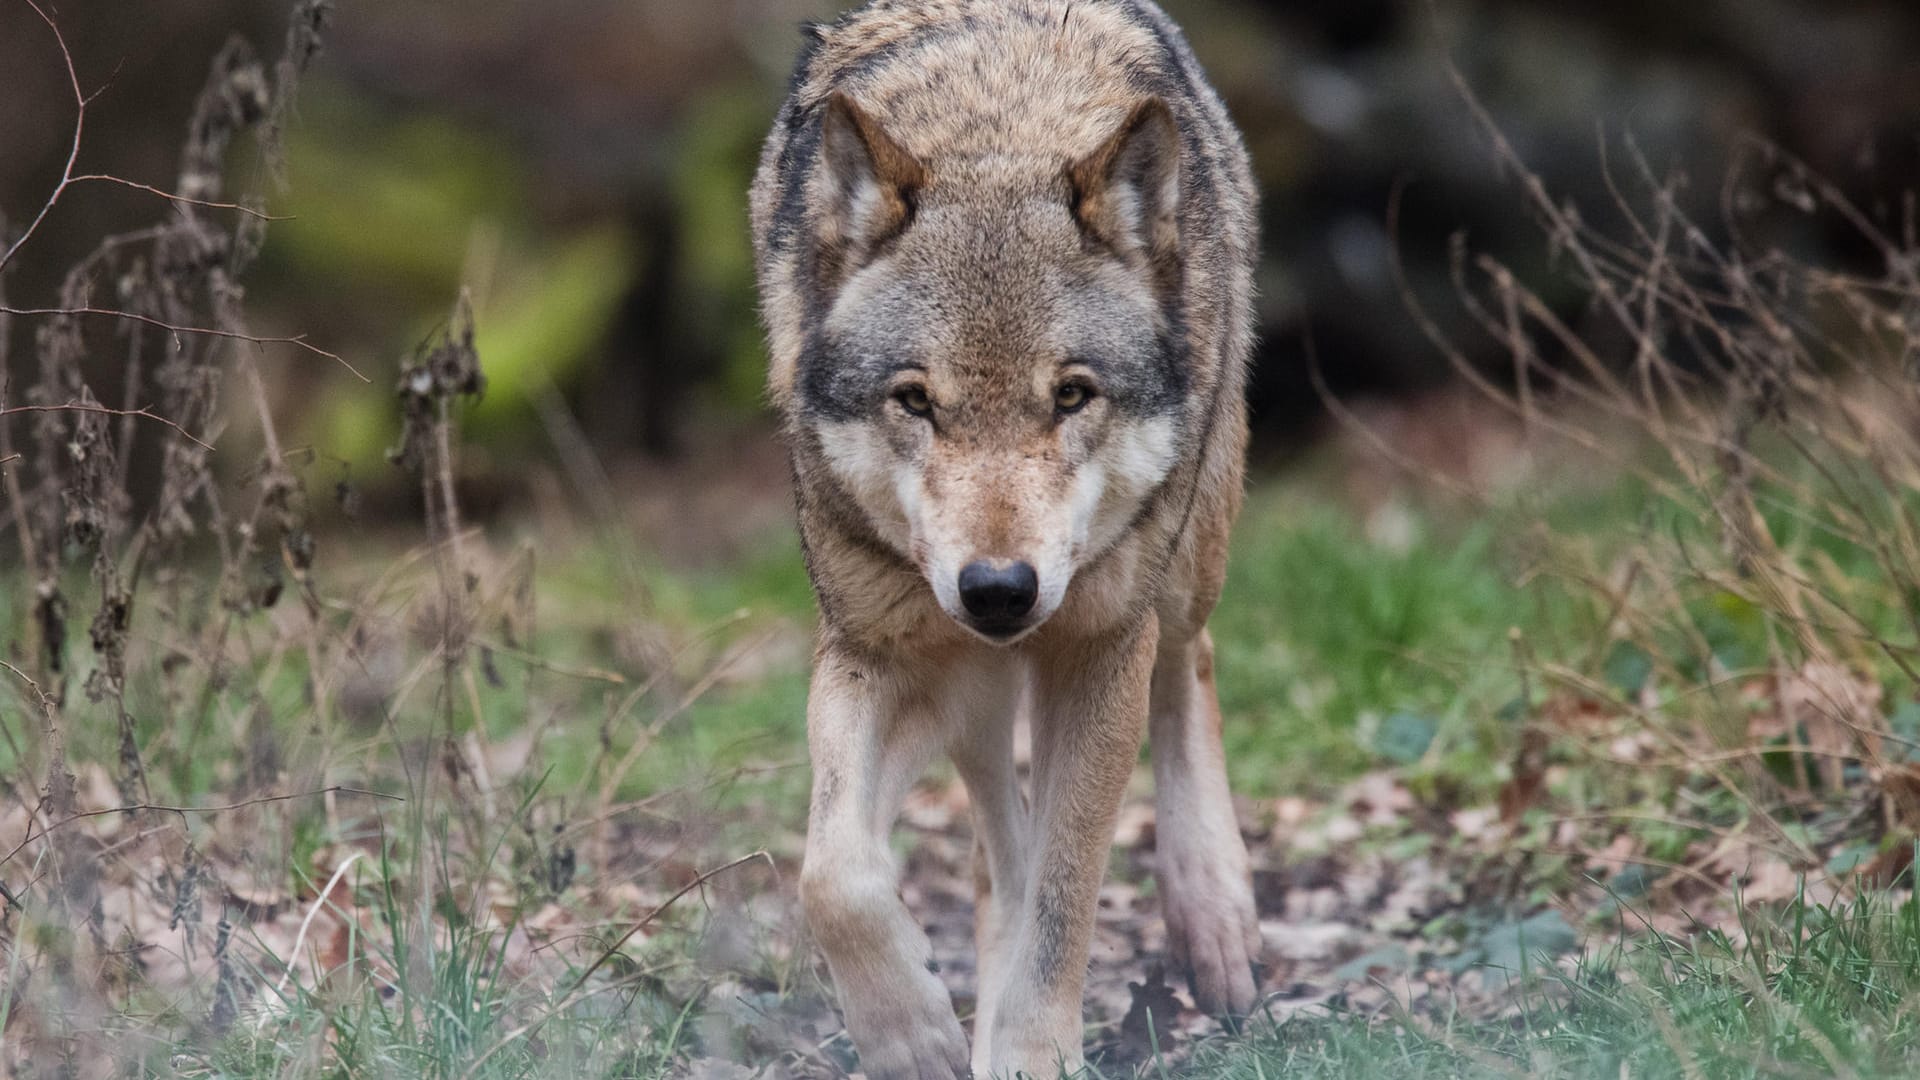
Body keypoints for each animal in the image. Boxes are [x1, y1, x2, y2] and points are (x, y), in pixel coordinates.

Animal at [744, 2, 1259, 1068]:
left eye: (1071, 395)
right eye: (915, 401)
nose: (997, 589)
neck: (997, 131)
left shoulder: (1100, 650)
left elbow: (1065, 900)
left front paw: (1027, 1054)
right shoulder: (879, 652)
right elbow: (833, 875)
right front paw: (914, 1038)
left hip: (1182, 561)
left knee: (1190, 664)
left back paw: (1216, 920)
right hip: (971, 685)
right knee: (994, 837)